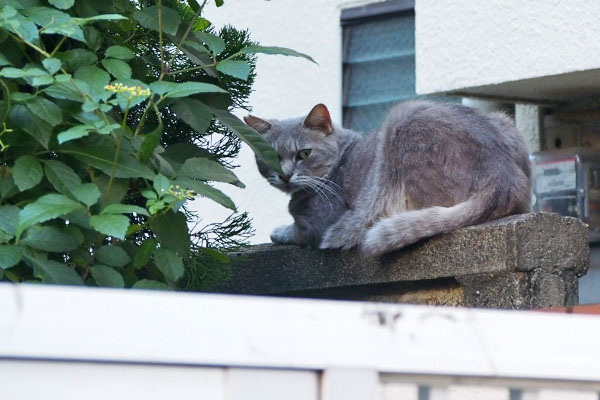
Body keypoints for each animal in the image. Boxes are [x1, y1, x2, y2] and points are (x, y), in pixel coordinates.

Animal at [244, 100, 528, 256]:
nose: (285, 175)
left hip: (402, 121)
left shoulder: (317, 224)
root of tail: (503, 175)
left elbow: (294, 231)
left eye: (304, 153)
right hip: (503, 120)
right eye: (270, 156)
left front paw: (278, 231)